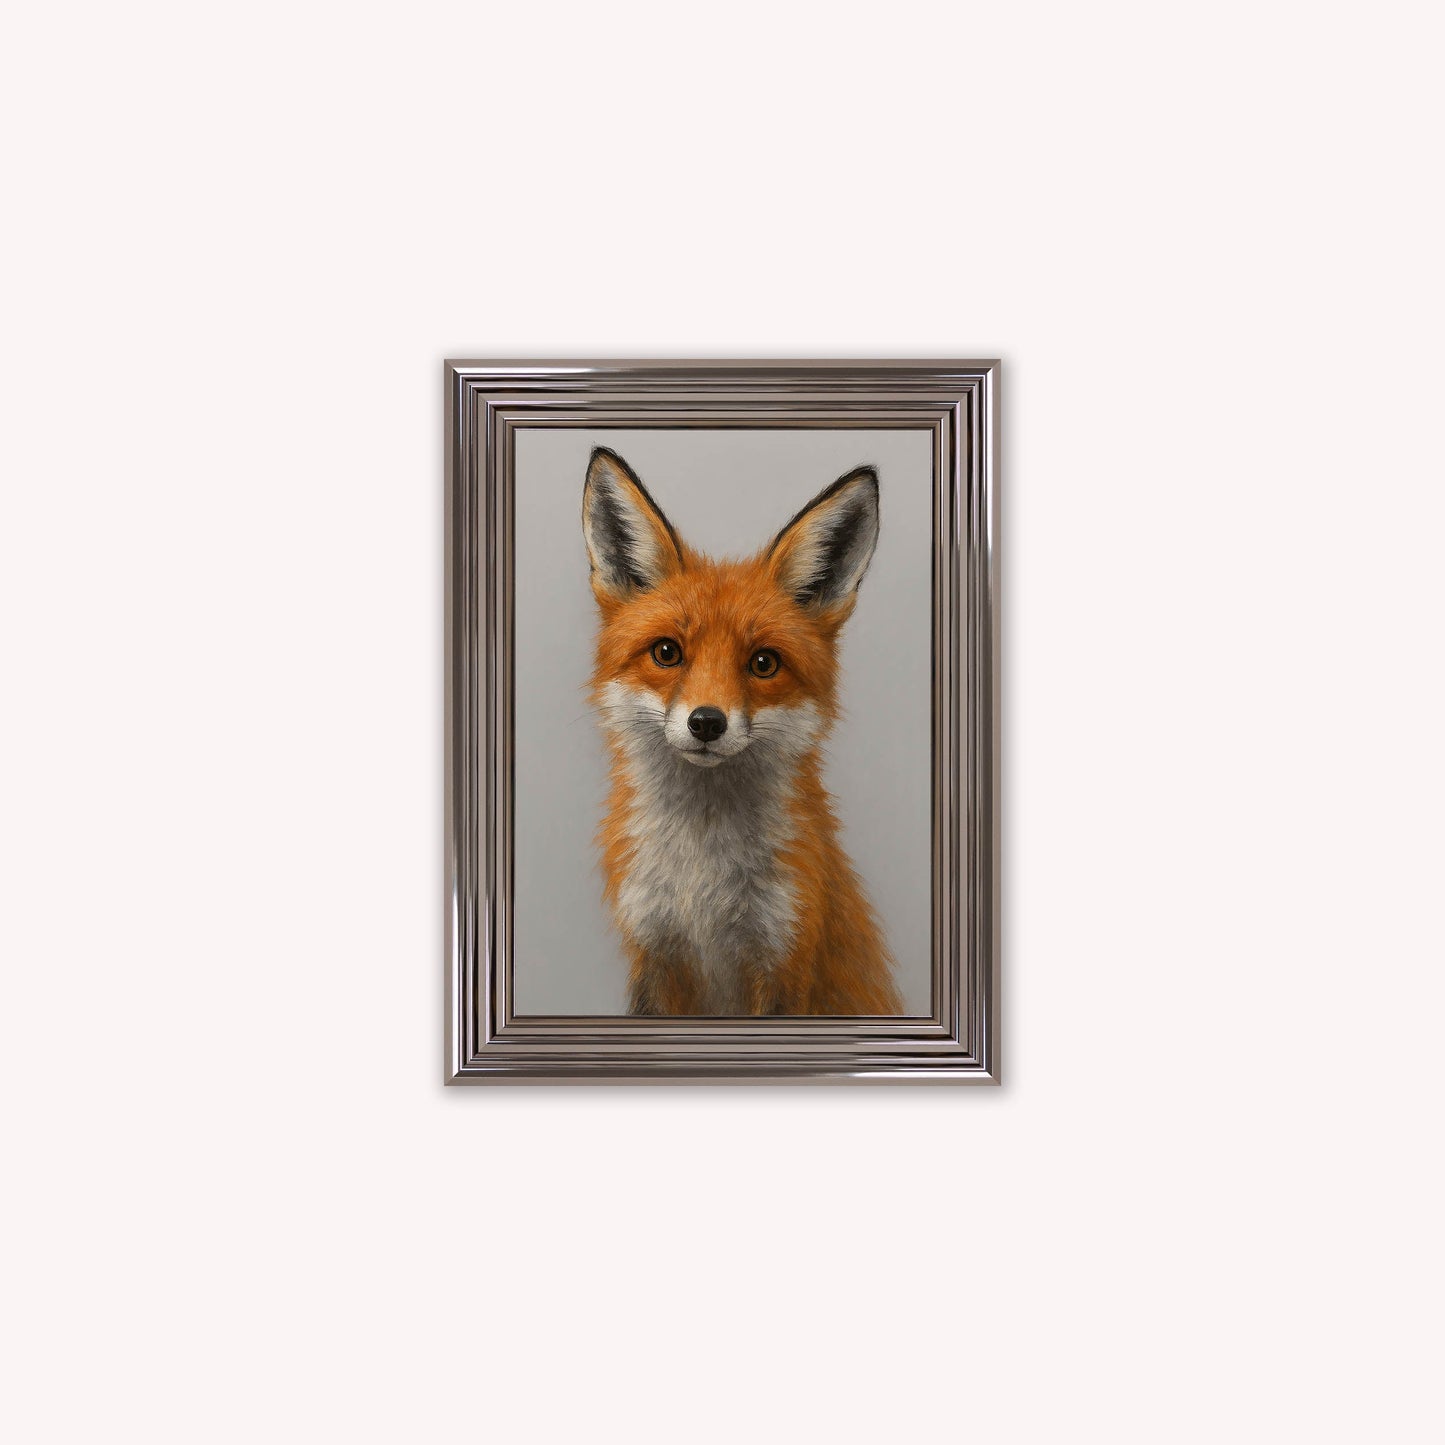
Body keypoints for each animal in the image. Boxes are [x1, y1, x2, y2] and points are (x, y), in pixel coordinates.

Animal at [582, 446, 903, 1017]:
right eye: (667, 652)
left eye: (763, 663)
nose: (707, 722)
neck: (701, 883)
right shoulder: (654, 950)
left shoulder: (784, 957)